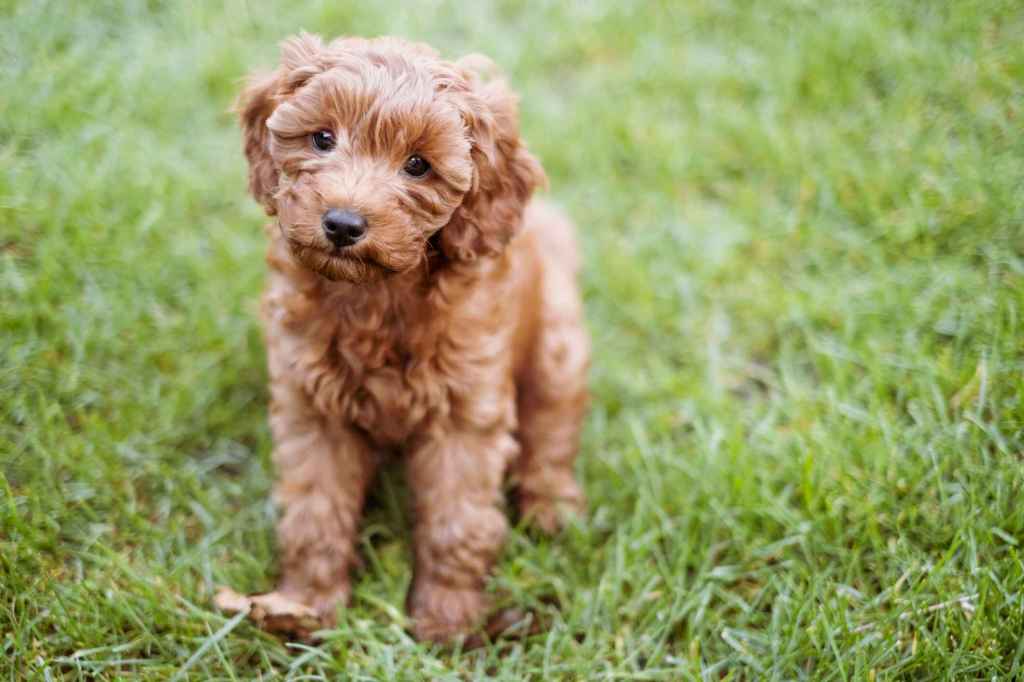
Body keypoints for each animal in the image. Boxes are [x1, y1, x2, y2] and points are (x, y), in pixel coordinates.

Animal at [229, 33, 589, 643]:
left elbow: (457, 521)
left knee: (551, 433)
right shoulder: (312, 409)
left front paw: (448, 621)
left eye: (418, 165)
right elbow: (314, 513)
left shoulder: (464, 416)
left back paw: (551, 509)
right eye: (322, 138)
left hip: (558, 348)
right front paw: (305, 607)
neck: (376, 296)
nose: (343, 224)